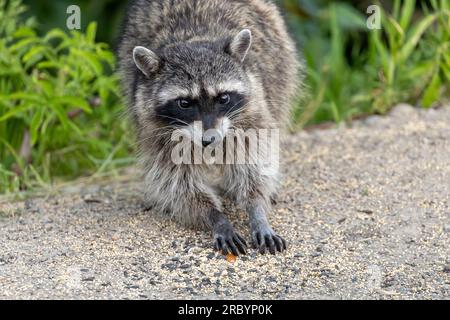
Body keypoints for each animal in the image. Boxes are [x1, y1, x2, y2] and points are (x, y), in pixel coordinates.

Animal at [118, 0, 300, 255]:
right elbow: (179, 184)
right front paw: (216, 217)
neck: (193, 38)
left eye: (223, 98)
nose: (209, 139)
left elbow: (253, 166)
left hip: (280, 63)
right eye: (184, 103)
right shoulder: (155, 130)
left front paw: (257, 210)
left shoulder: (252, 111)